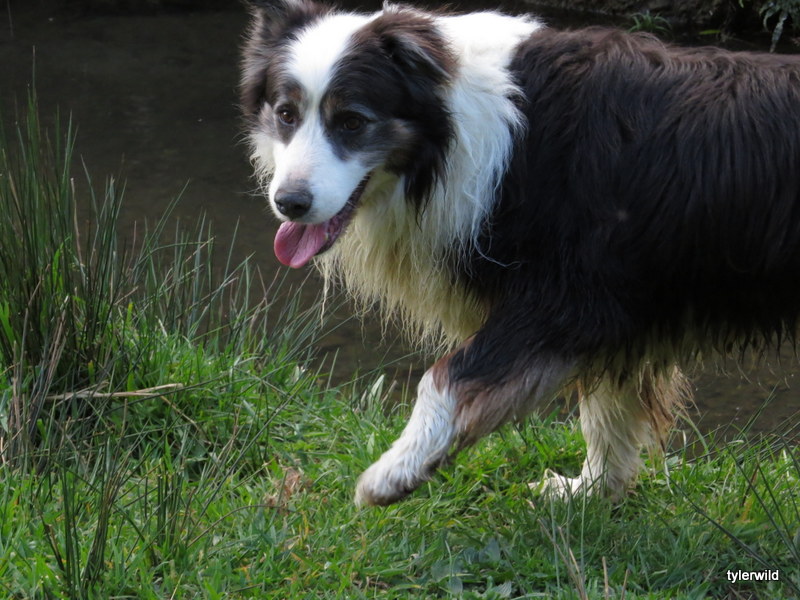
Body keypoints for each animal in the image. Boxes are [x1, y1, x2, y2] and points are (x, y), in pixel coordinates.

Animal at [240, 0, 800, 506]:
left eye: (352, 122)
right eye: (286, 114)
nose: (289, 203)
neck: (465, 139)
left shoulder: (570, 291)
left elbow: (445, 378)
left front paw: (393, 474)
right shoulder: (620, 302)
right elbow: (605, 406)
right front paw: (589, 493)